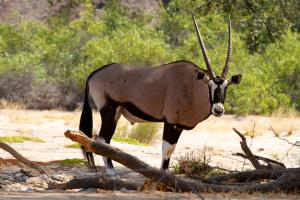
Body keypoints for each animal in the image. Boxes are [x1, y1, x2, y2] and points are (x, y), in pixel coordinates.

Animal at [79, 13, 241, 170]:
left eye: (226, 86)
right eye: (209, 85)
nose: (218, 110)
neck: (192, 87)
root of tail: (94, 74)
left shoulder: (179, 126)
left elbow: (171, 151)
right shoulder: (170, 122)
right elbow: (167, 150)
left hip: (117, 113)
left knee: (105, 141)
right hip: (109, 111)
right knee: (102, 140)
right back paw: (112, 172)